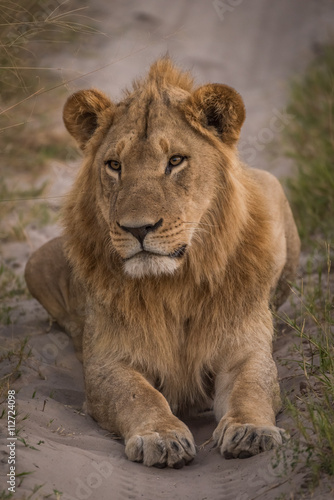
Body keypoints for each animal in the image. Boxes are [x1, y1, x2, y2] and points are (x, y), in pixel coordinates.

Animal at [25, 59, 300, 468]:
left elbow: (251, 387)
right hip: (35, 263)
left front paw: (251, 431)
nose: (137, 228)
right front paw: (161, 436)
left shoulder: (245, 348)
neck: (174, 284)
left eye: (175, 161)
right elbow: (139, 396)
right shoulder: (107, 362)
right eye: (114, 165)